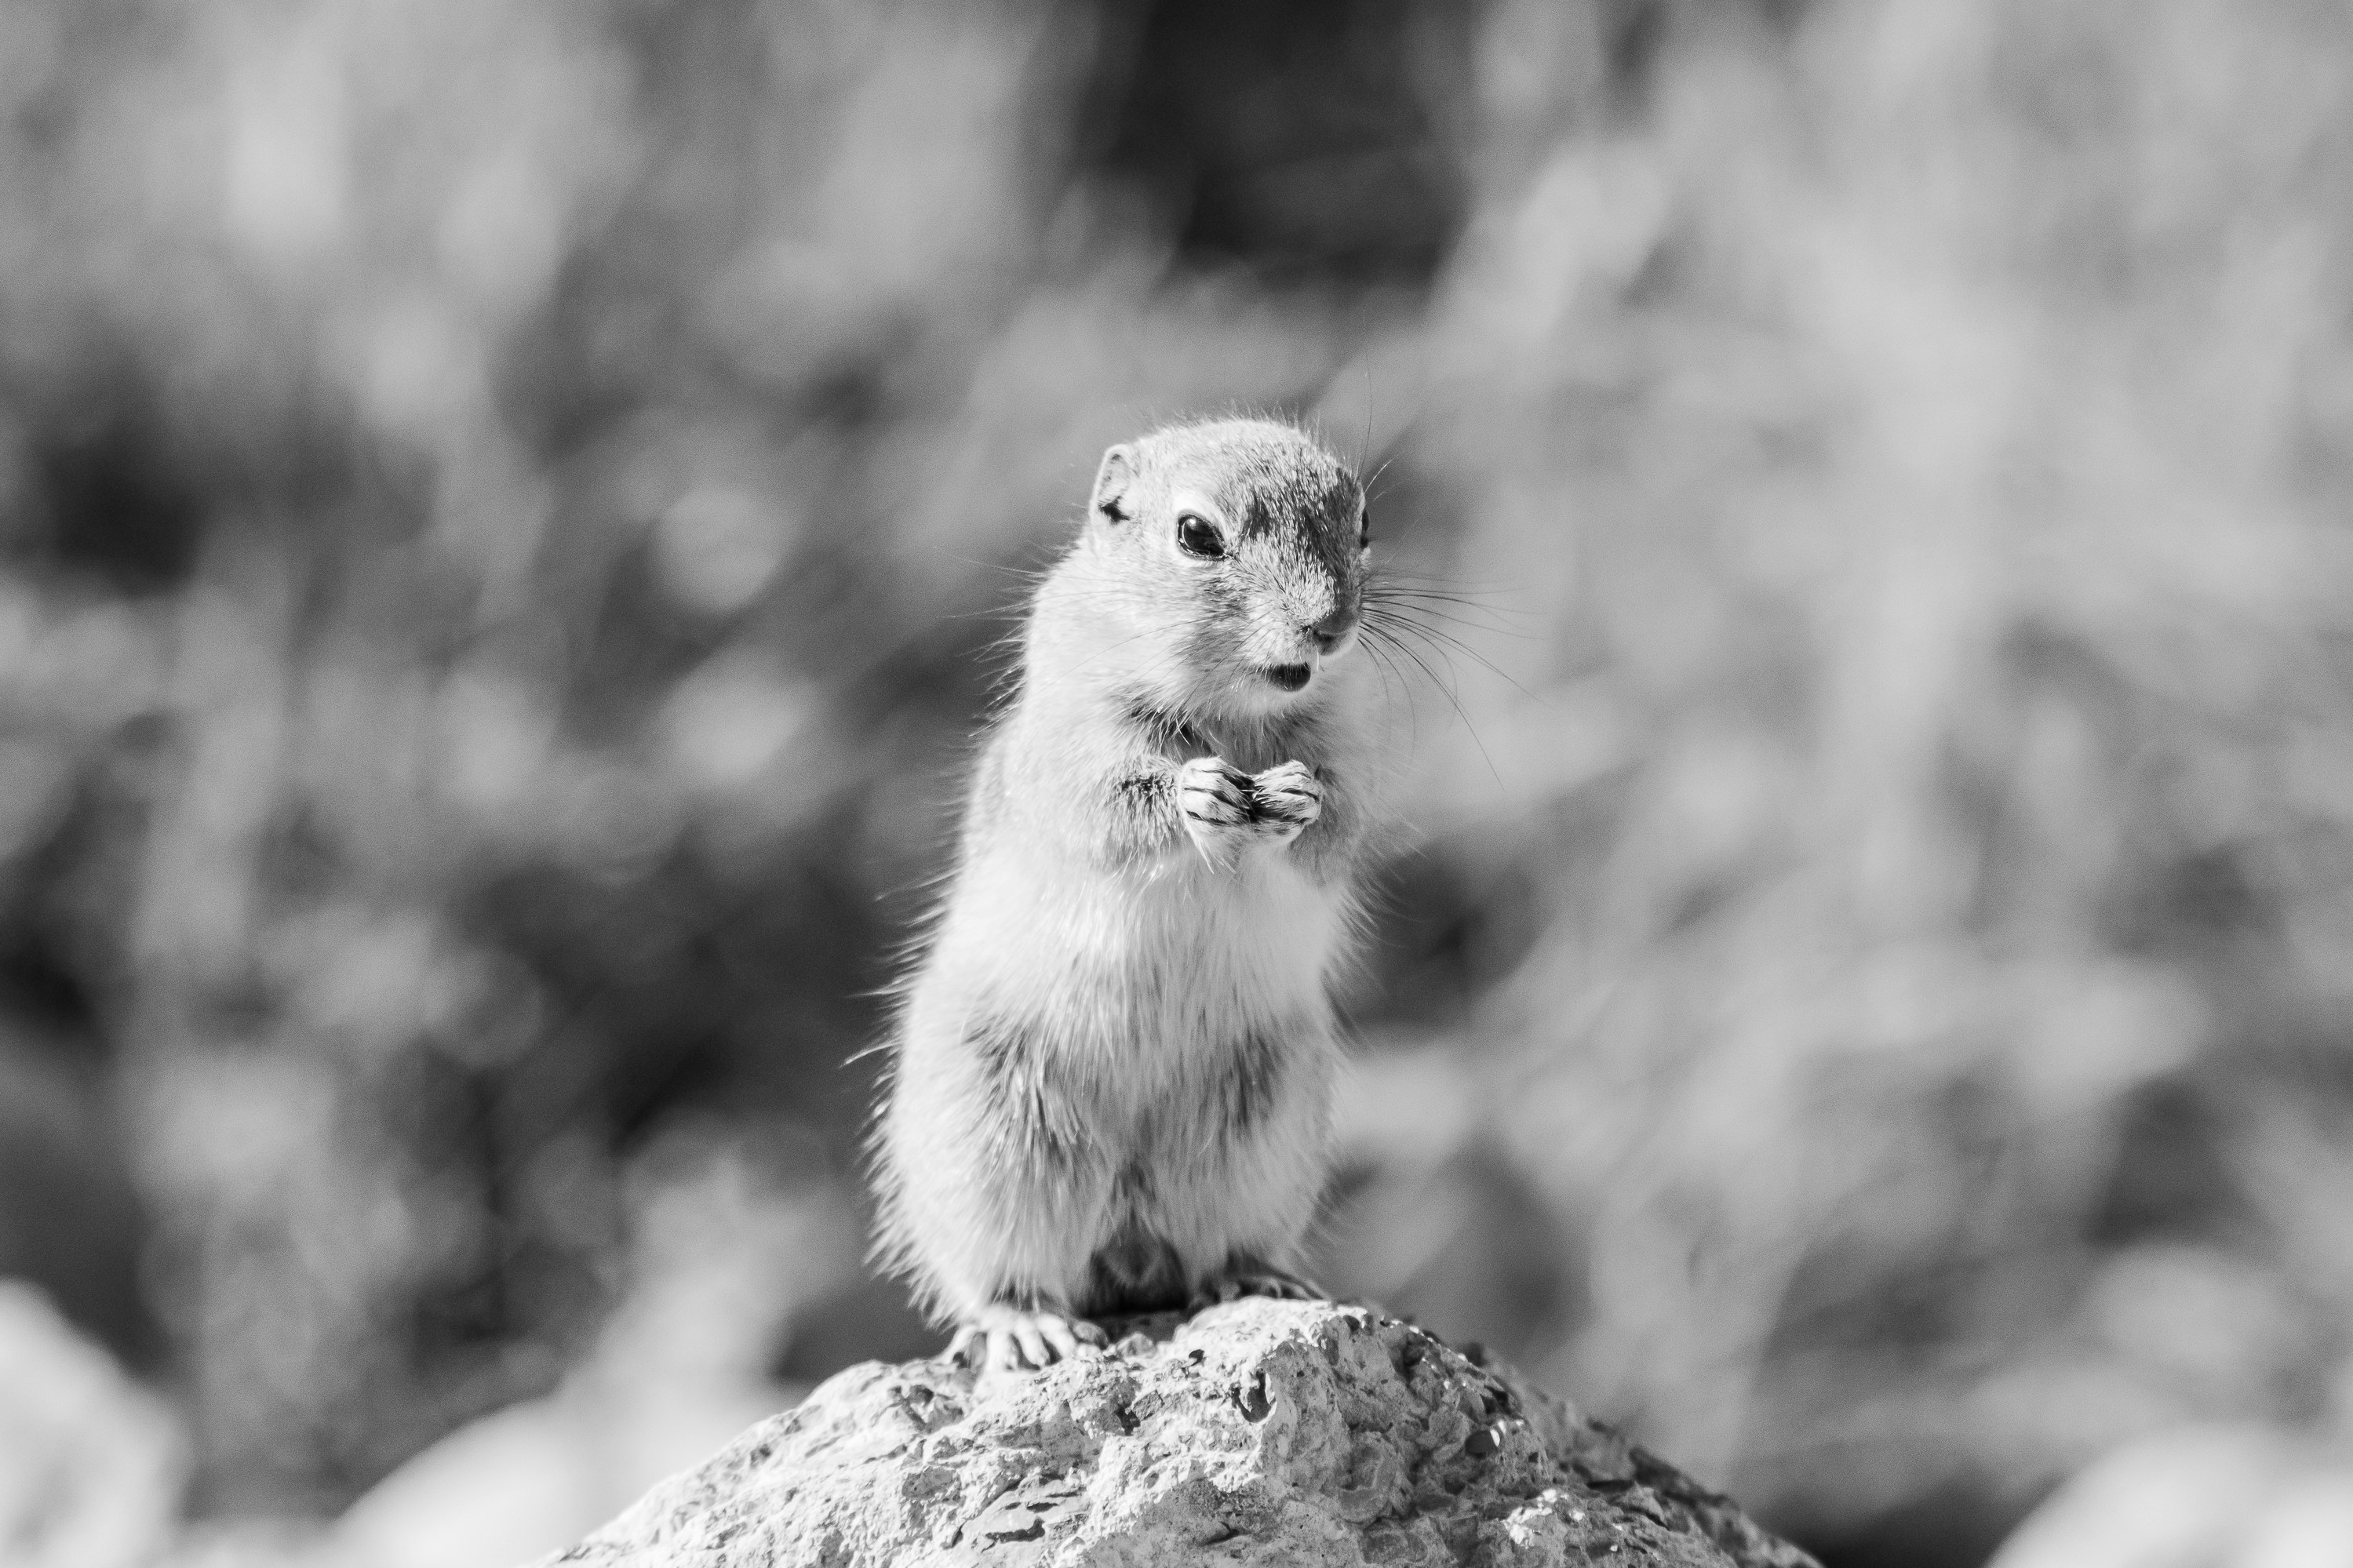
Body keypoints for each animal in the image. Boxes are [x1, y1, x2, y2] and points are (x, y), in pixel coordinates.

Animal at [870, 416, 1380, 1372]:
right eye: (1196, 534)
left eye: (1363, 522)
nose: (1329, 626)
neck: (1231, 710)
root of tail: (1130, 1245)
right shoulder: (1071, 746)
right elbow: (1109, 803)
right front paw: (1194, 794)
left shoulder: (1352, 759)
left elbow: (1335, 829)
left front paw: (1295, 801)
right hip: (993, 1137)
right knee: (1003, 1272)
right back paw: (1025, 1324)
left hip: (1264, 1123)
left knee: (1216, 1246)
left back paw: (1251, 1276)